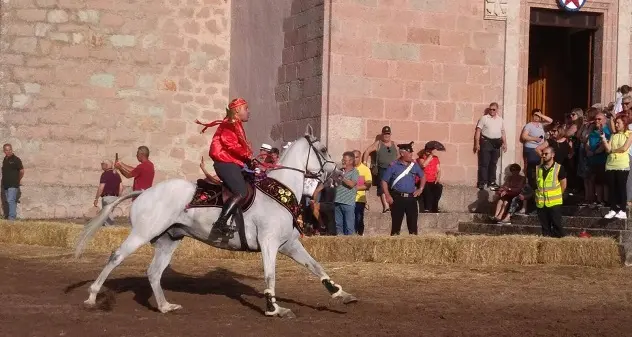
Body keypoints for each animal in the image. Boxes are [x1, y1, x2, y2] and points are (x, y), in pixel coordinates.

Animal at [74, 126, 356, 318]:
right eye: (323, 150)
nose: (338, 172)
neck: (281, 190)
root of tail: (144, 192)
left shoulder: (289, 244)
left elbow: (316, 267)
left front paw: (341, 294)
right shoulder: (269, 243)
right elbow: (270, 275)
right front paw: (273, 308)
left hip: (169, 239)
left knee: (154, 272)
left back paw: (165, 306)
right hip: (142, 234)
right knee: (116, 257)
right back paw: (92, 297)